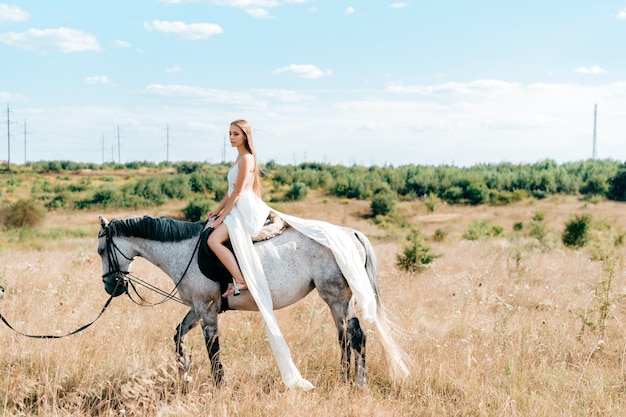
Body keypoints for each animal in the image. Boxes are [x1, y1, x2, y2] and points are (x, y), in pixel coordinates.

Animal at [96, 216, 410, 388]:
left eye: (101, 250)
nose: (111, 286)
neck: (184, 251)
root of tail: (349, 233)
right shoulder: (197, 308)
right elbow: (178, 336)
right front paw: (184, 373)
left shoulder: (206, 309)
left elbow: (213, 351)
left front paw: (219, 387)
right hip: (338, 300)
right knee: (346, 336)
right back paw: (344, 380)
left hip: (336, 298)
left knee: (355, 336)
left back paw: (358, 384)